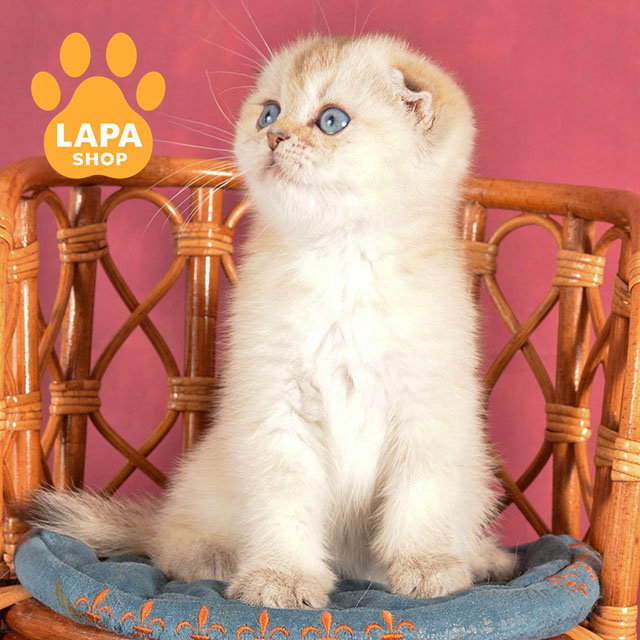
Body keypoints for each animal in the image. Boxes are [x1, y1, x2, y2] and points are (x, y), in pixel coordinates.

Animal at [27, 33, 517, 609]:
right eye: (268, 113)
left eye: (331, 120)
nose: (275, 137)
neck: (344, 262)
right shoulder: (276, 408)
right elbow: (283, 502)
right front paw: (280, 578)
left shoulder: (429, 409)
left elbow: (422, 497)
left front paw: (427, 565)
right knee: (166, 535)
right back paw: (210, 556)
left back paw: (480, 559)